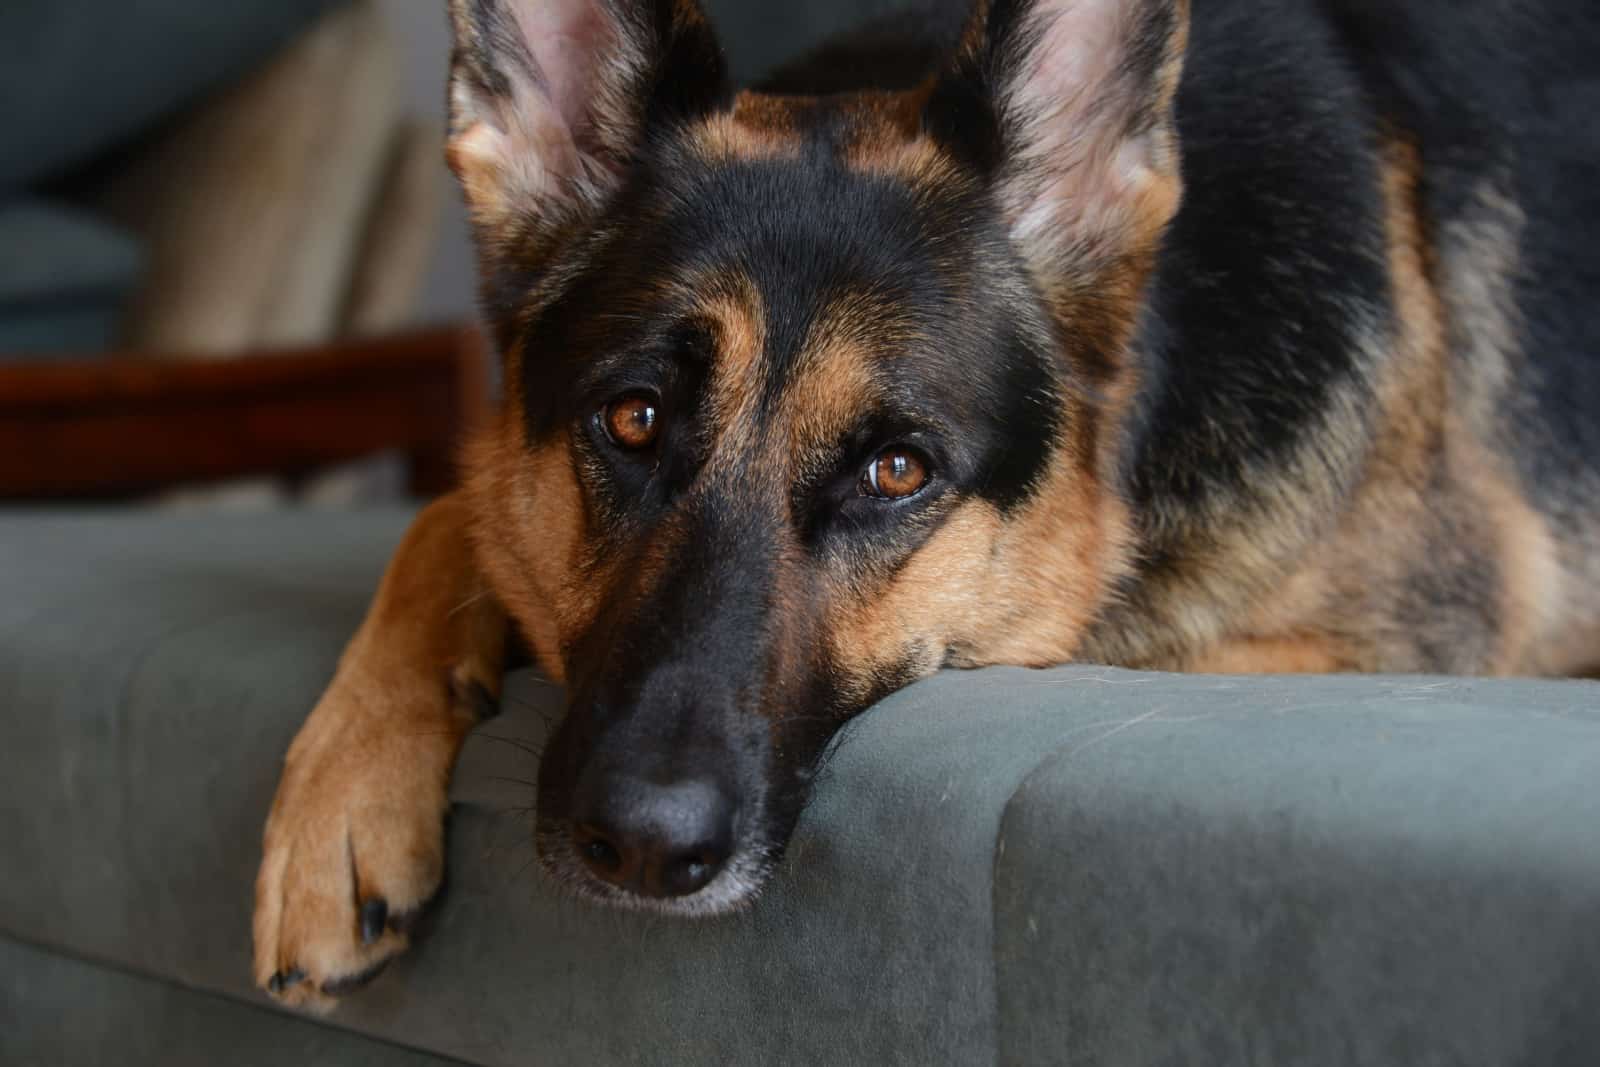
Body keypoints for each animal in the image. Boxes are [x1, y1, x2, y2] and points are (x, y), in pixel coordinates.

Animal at [252, 0, 1600, 1011]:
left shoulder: (1390, 639)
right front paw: (341, 796)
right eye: (632, 417)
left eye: (896, 469)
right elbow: (444, 516)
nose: (639, 842)